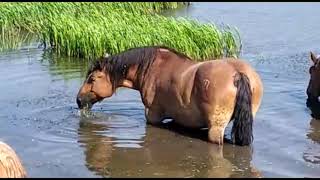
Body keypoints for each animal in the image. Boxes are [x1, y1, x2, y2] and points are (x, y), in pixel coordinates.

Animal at [76, 45, 264, 146]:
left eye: (92, 79)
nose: (78, 100)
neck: (151, 66)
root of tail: (237, 73)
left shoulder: (152, 115)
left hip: (216, 128)